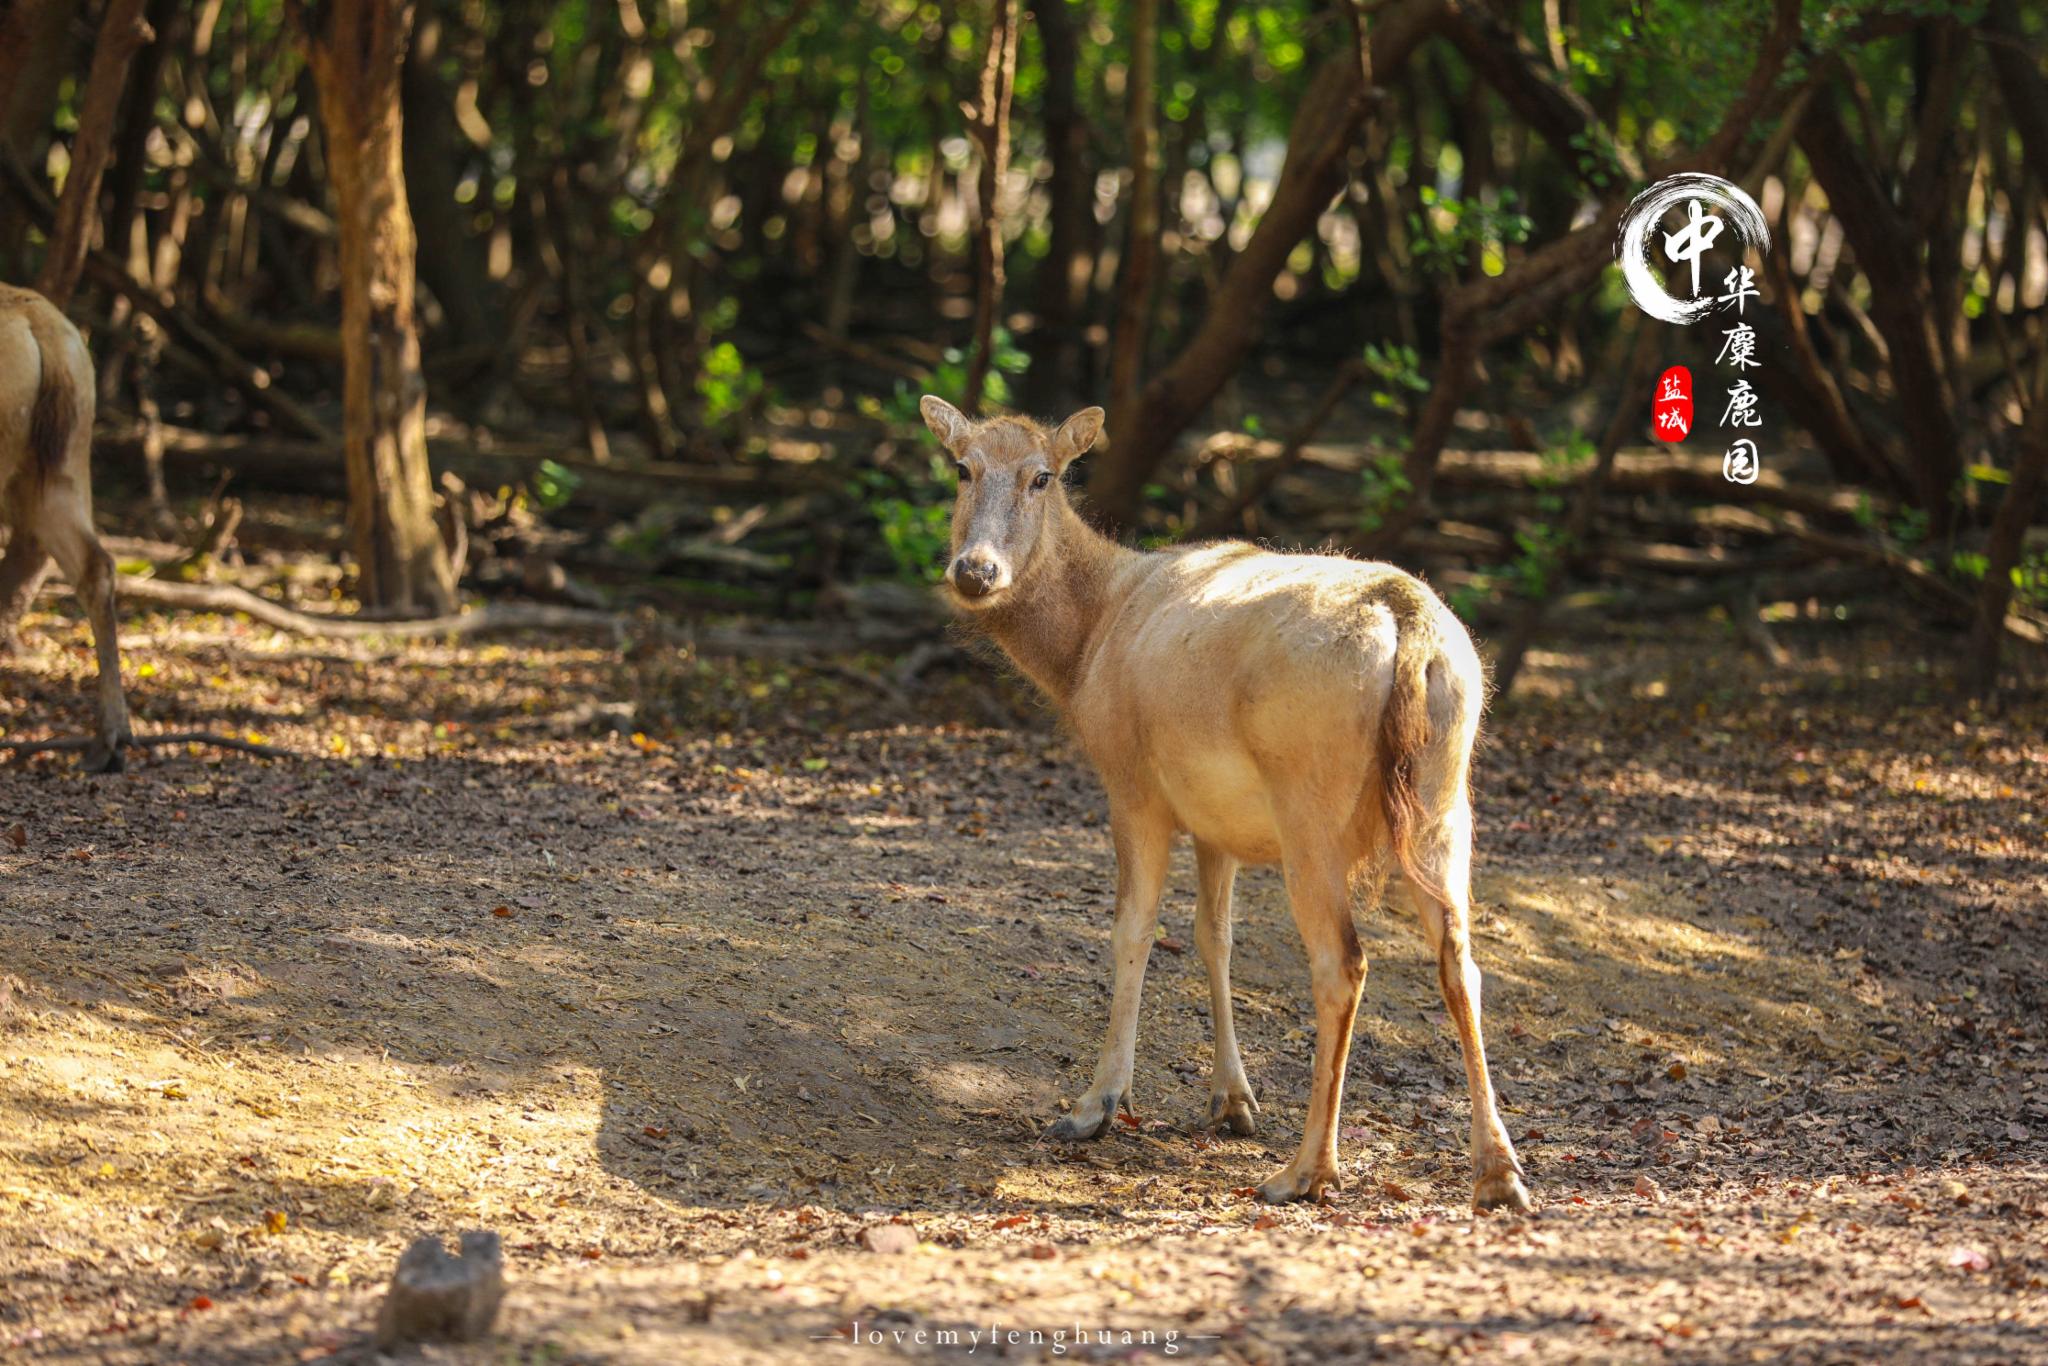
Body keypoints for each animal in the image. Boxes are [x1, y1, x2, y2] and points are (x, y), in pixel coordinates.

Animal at [921, 397, 1531, 1220]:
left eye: (1042, 476)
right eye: (962, 467)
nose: (975, 570)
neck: (1085, 651)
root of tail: (1413, 626)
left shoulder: (1133, 784)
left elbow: (1133, 930)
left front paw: (1094, 1105)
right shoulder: (1218, 821)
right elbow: (1216, 937)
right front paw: (1232, 1101)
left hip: (1311, 807)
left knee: (1343, 962)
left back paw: (1305, 1171)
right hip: (1447, 797)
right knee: (1461, 957)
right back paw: (1498, 1172)